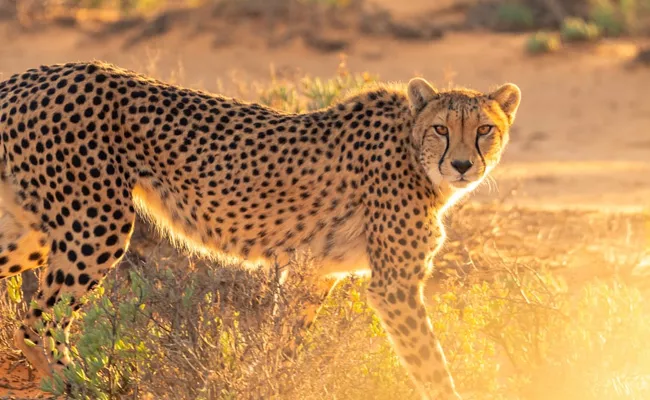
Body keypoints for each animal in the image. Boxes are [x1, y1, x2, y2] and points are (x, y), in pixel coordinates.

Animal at [0, 61, 516, 398]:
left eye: (485, 129)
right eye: (441, 129)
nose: (463, 165)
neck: (413, 150)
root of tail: (31, 75)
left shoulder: (314, 272)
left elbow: (284, 344)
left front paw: (269, 382)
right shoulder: (394, 286)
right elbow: (430, 364)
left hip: (34, 231)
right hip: (96, 222)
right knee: (38, 321)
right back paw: (79, 384)